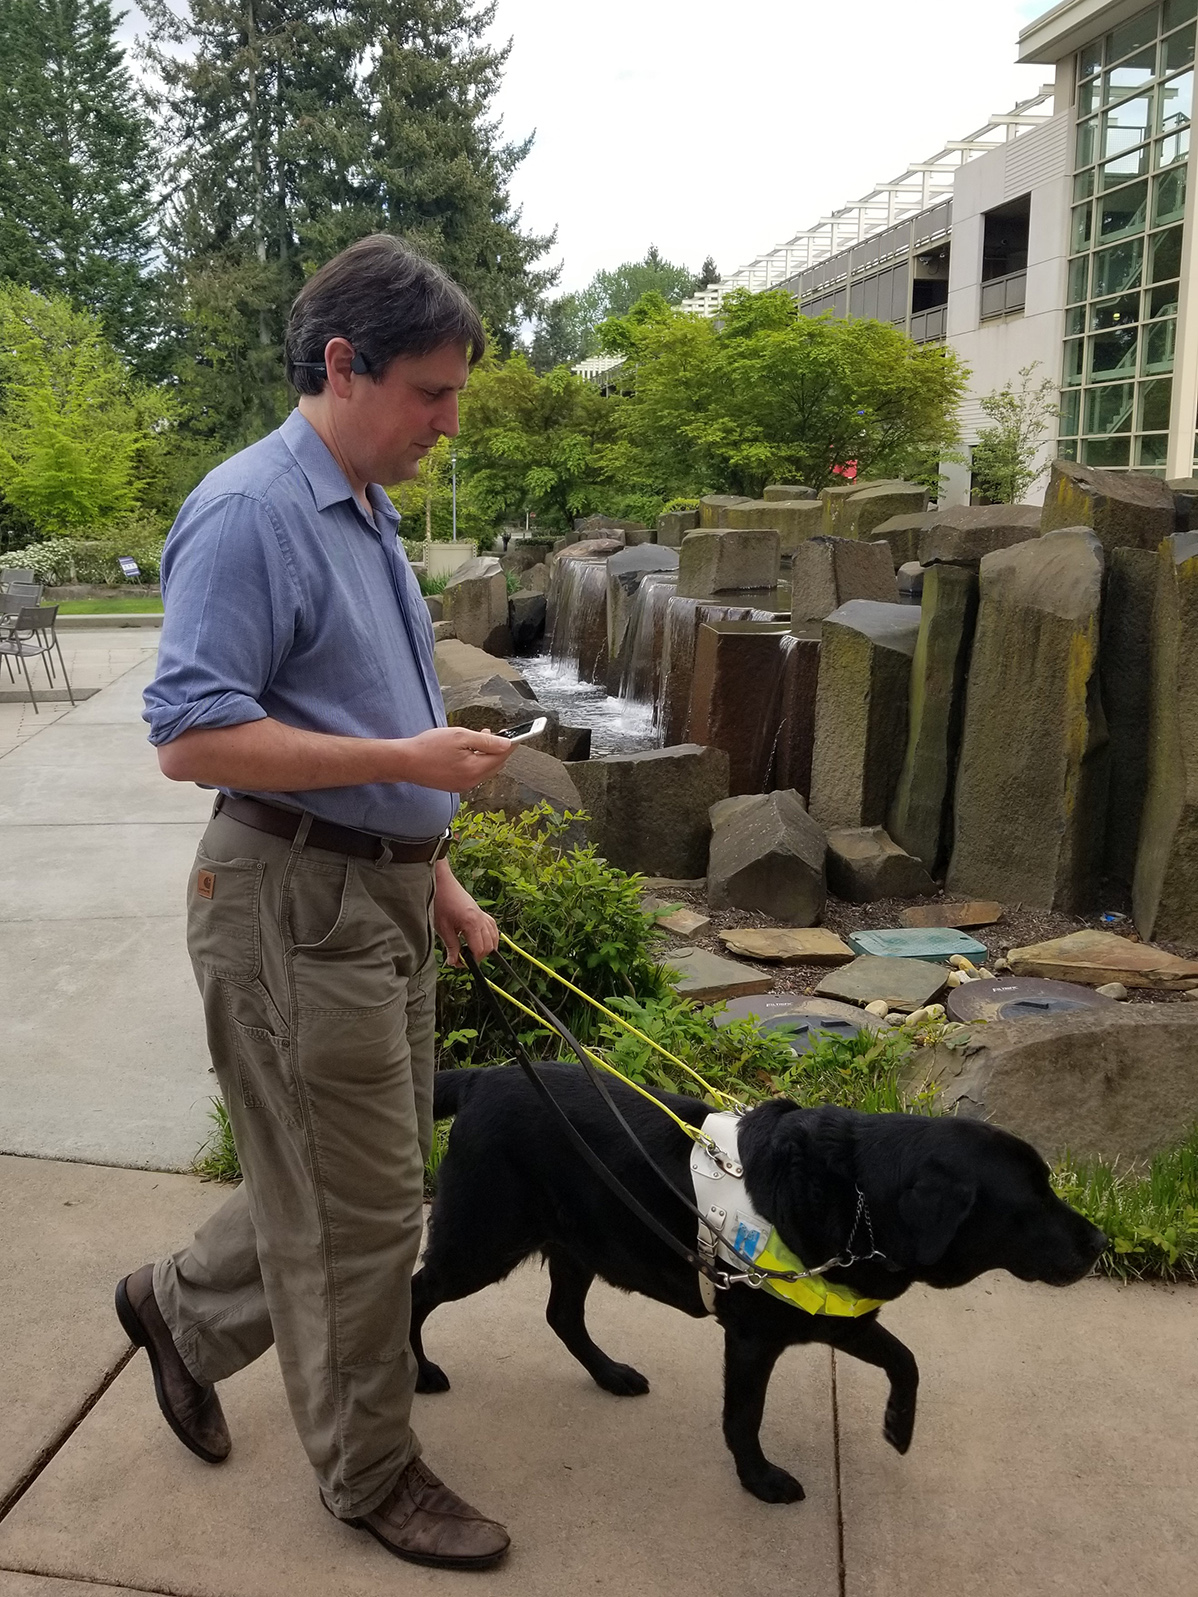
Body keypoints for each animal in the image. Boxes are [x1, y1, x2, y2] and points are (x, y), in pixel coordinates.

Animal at [412, 1066, 1105, 1501]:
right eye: (1035, 1197)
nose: (1100, 1243)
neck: (855, 1198)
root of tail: (480, 1077)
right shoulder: (753, 1335)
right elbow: (745, 1416)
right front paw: (760, 1480)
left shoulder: (830, 1311)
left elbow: (906, 1361)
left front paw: (898, 1426)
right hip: (480, 1240)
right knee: (417, 1293)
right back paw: (420, 1372)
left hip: (580, 1240)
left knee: (561, 1315)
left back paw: (610, 1374)